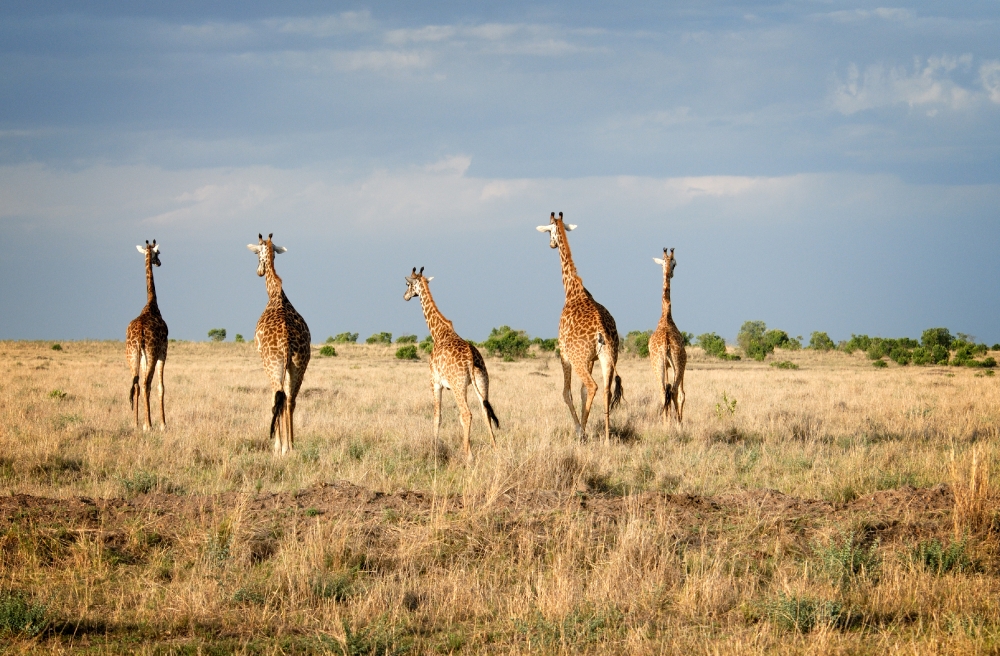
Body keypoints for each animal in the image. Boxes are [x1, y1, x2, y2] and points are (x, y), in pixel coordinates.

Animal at [248, 233, 310, 454]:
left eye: (256, 254)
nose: (258, 272)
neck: (275, 292)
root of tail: (286, 342)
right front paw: (287, 444)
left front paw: (277, 445)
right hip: (299, 363)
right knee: (291, 399)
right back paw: (290, 445)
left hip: (273, 364)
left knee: (280, 398)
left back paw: (281, 447)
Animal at [402, 266, 500, 462]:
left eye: (408, 284)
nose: (405, 296)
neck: (438, 332)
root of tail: (471, 359)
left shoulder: (435, 382)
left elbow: (437, 416)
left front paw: (434, 448)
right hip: (482, 382)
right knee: (485, 411)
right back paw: (495, 451)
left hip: (457, 385)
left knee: (467, 413)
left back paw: (468, 456)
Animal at [536, 213, 620, 444]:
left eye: (548, 232)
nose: (551, 244)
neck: (573, 290)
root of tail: (602, 332)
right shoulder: (591, 358)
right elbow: (581, 392)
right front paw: (585, 428)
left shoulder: (564, 353)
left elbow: (567, 392)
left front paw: (579, 430)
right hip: (608, 357)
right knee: (606, 390)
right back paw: (607, 438)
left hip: (578, 358)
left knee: (592, 386)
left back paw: (583, 433)